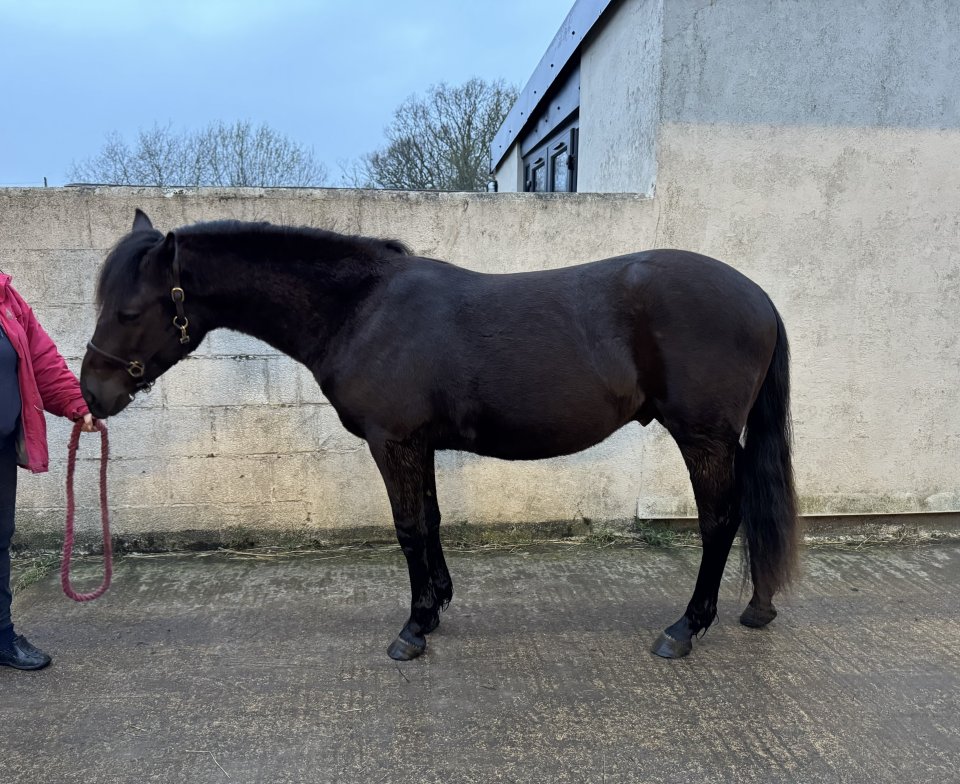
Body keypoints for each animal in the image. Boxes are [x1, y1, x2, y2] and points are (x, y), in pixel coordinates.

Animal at [80, 209, 799, 661]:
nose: (92, 393)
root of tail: (760, 296)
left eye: (130, 310)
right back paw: (758, 607)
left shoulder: (392, 442)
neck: (361, 309)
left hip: (702, 437)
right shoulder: (416, 444)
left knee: (721, 521)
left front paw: (413, 627)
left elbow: (407, 529)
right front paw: (438, 604)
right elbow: (429, 519)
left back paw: (684, 628)